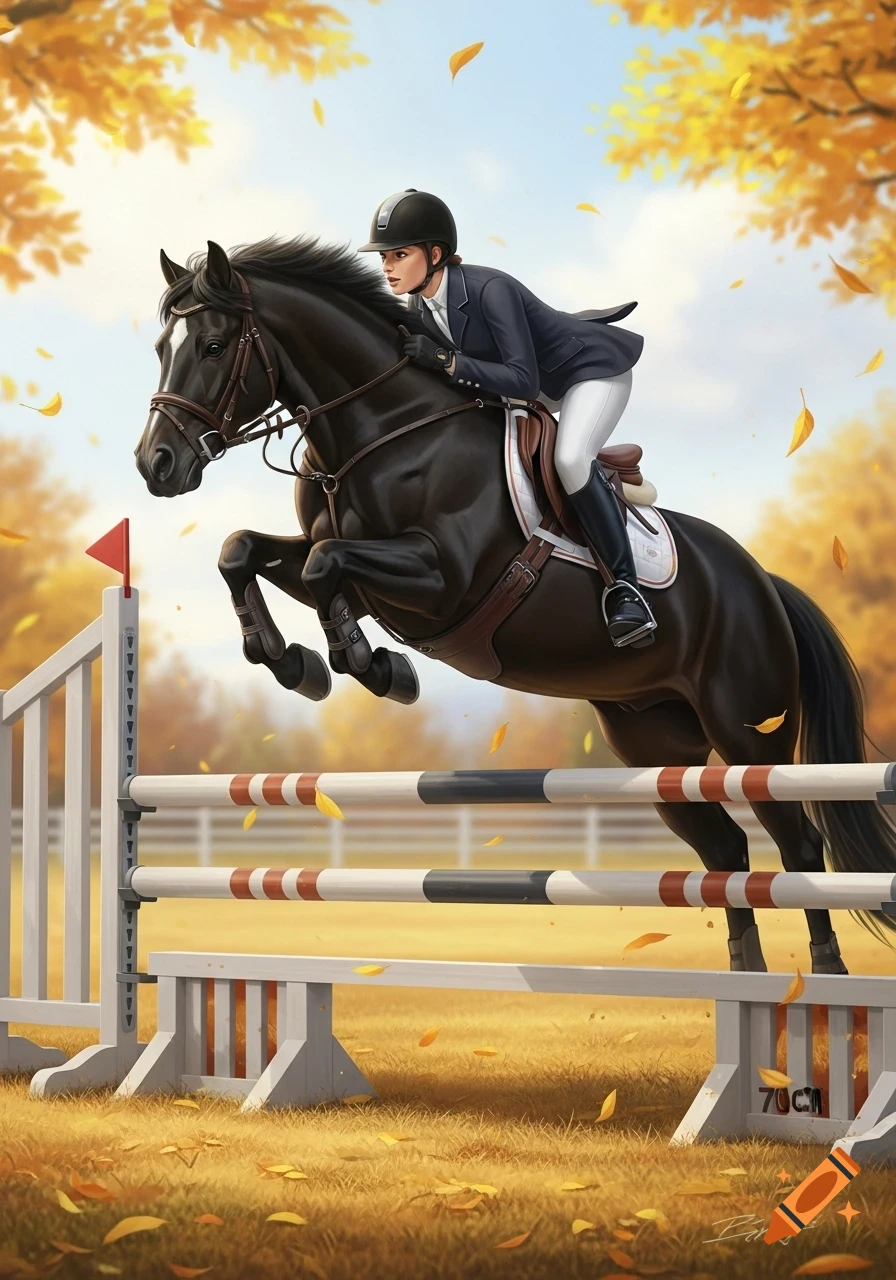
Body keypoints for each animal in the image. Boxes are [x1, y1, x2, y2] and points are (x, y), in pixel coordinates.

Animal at [134, 235, 896, 975]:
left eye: (212, 346)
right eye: (161, 348)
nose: (155, 465)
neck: (381, 429)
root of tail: (763, 582)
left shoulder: (441, 577)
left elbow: (327, 568)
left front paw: (373, 668)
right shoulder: (346, 563)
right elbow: (244, 551)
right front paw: (296, 664)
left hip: (749, 730)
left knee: (797, 847)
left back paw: (826, 976)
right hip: (653, 741)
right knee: (725, 853)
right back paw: (746, 976)